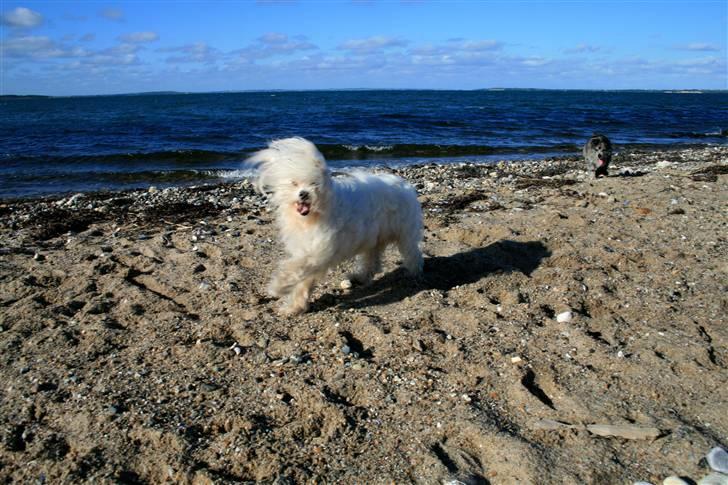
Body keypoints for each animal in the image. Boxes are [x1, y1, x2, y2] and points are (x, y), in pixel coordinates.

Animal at [247, 138, 424, 316]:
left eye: (314, 183)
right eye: (294, 183)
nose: (303, 194)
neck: (312, 218)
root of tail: (404, 184)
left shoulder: (319, 252)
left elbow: (296, 267)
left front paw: (278, 286)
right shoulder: (308, 250)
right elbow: (302, 280)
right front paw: (294, 306)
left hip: (405, 233)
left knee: (412, 253)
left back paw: (414, 273)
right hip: (374, 239)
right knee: (372, 261)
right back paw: (359, 278)